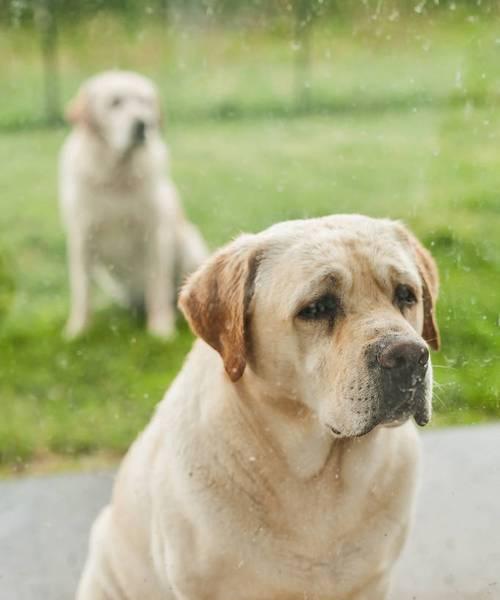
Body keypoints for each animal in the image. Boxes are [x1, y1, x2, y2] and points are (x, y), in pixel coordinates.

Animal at [59, 68, 208, 340]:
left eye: (145, 102)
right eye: (115, 102)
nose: (142, 124)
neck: (116, 176)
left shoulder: (155, 236)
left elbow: (157, 287)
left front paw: (160, 330)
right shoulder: (81, 238)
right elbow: (82, 291)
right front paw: (77, 330)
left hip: (189, 244)